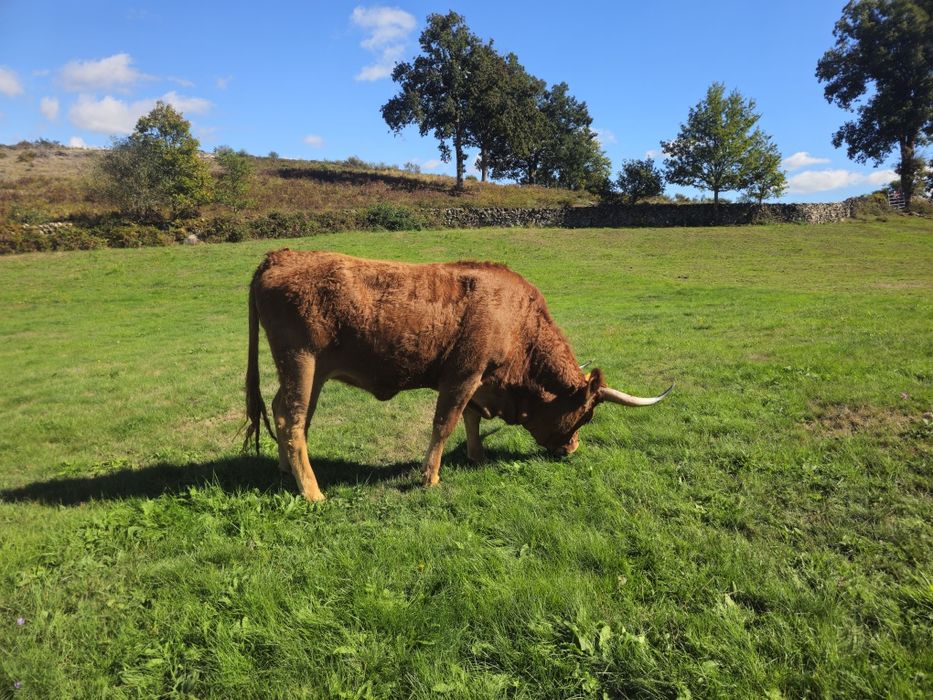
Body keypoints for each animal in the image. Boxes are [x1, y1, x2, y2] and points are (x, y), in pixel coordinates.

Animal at [244, 249, 672, 502]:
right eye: (586, 416)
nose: (573, 449)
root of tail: (280, 255)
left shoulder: (479, 381)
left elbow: (469, 418)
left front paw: (477, 456)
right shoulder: (464, 373)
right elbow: (445, 422)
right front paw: (430, 477)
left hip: (309, 373)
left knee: (284, 413)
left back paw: (286, 470)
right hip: (301, 362)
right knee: (292, 420)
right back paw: (312, 492)